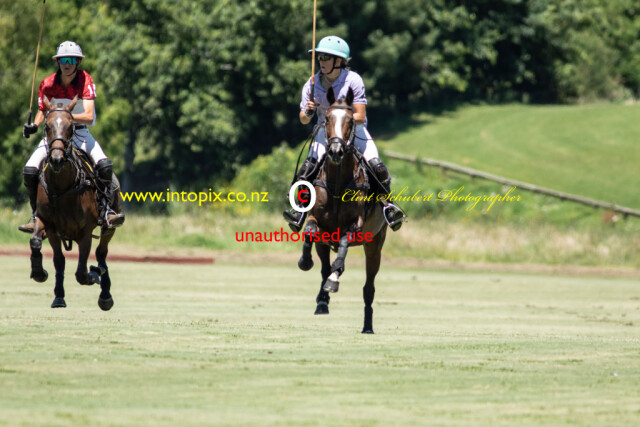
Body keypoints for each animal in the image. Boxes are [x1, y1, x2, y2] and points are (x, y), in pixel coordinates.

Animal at [28, 95, 122, 310]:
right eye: (47, 126)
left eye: (71, 126)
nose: (56, 159)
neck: (62, 187)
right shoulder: (49, 225)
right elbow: (50, 253)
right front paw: (45, 279)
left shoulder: (84, 232)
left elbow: (81, 273)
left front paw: (94, 274)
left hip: (109, 226)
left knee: (102, 253)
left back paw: (105, 292)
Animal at [297, 87, 387, 334]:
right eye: (327, 118)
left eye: (350, 120)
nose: (336, 151)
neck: (337, 183)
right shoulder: (318, 222)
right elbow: (309, 231)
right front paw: (304, 262)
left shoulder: (355, 226)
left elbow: (344, 245)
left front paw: (335, 278)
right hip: (324, 243)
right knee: (323, 267)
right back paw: (321, 302)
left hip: (375, 246)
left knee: (369, 288)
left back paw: (367, 326)